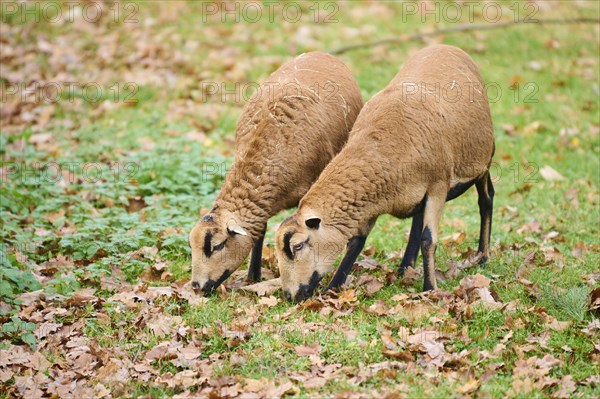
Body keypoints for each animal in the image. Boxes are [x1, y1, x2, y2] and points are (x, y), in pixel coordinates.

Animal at [274, 45, 494, 304]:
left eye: (297, 247)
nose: (289, 295)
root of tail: (445, 46)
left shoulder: (438, 185)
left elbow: (428, 239)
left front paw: (430, 289)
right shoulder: (371, 201)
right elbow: (356, 241)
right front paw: (333, 288)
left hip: (483, 160)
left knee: (486, 198)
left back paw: (482, 256)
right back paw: (405, 267)